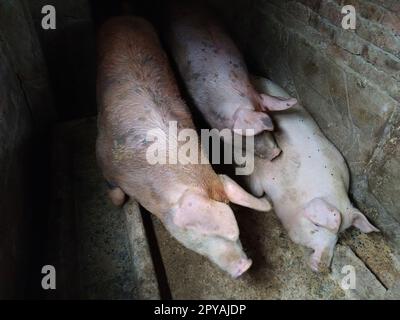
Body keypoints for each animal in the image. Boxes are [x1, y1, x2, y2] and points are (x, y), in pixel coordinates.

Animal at [95, 15, 270, 278]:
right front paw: (118, 203)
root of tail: (123, 17)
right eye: (199, 232)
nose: (245, 265)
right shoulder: (103, 155)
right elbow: (114, 192)